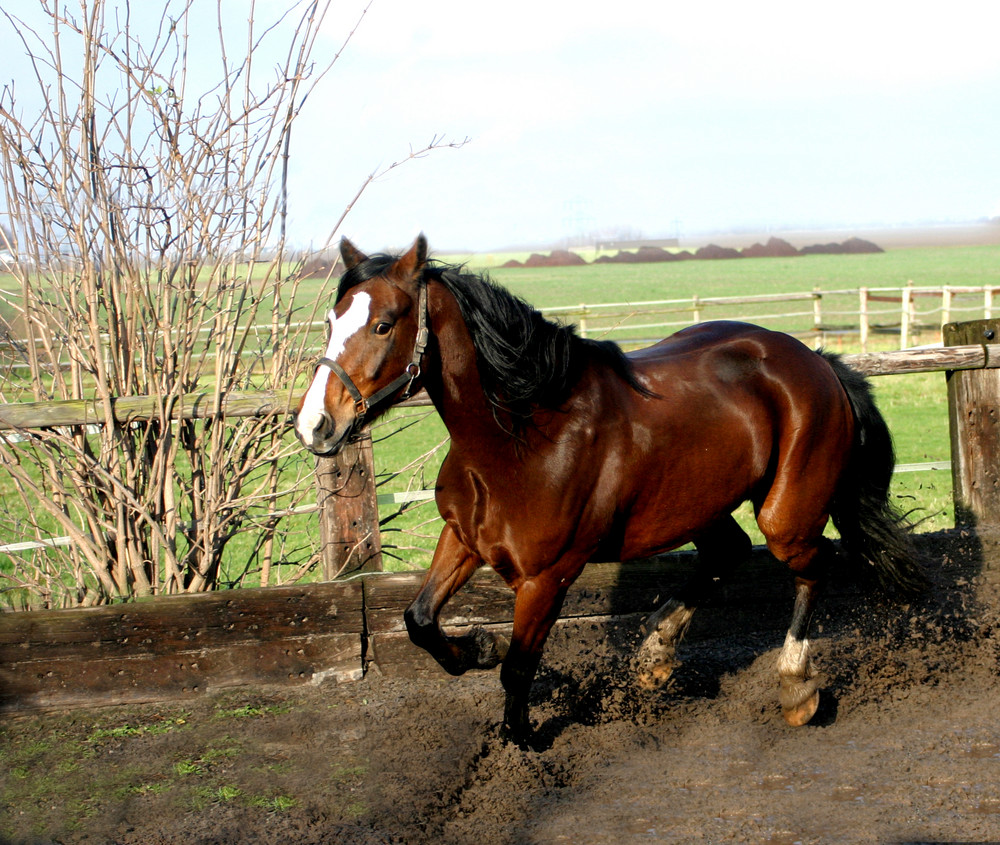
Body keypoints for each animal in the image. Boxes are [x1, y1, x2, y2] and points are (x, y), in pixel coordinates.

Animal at [292, 232, 924, 744]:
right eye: (330, 321)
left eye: (383, 324)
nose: (315, 425)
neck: (522, 434)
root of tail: (817, 361)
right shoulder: (465, 539)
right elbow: (420, 620)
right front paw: (478, 647)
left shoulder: (546, 576)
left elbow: (518, 668)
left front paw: (526, 743)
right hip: (697, 502)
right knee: (729, 551)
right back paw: (655, 654)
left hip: (786, 515)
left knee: (812, 566)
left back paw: (796, 687)